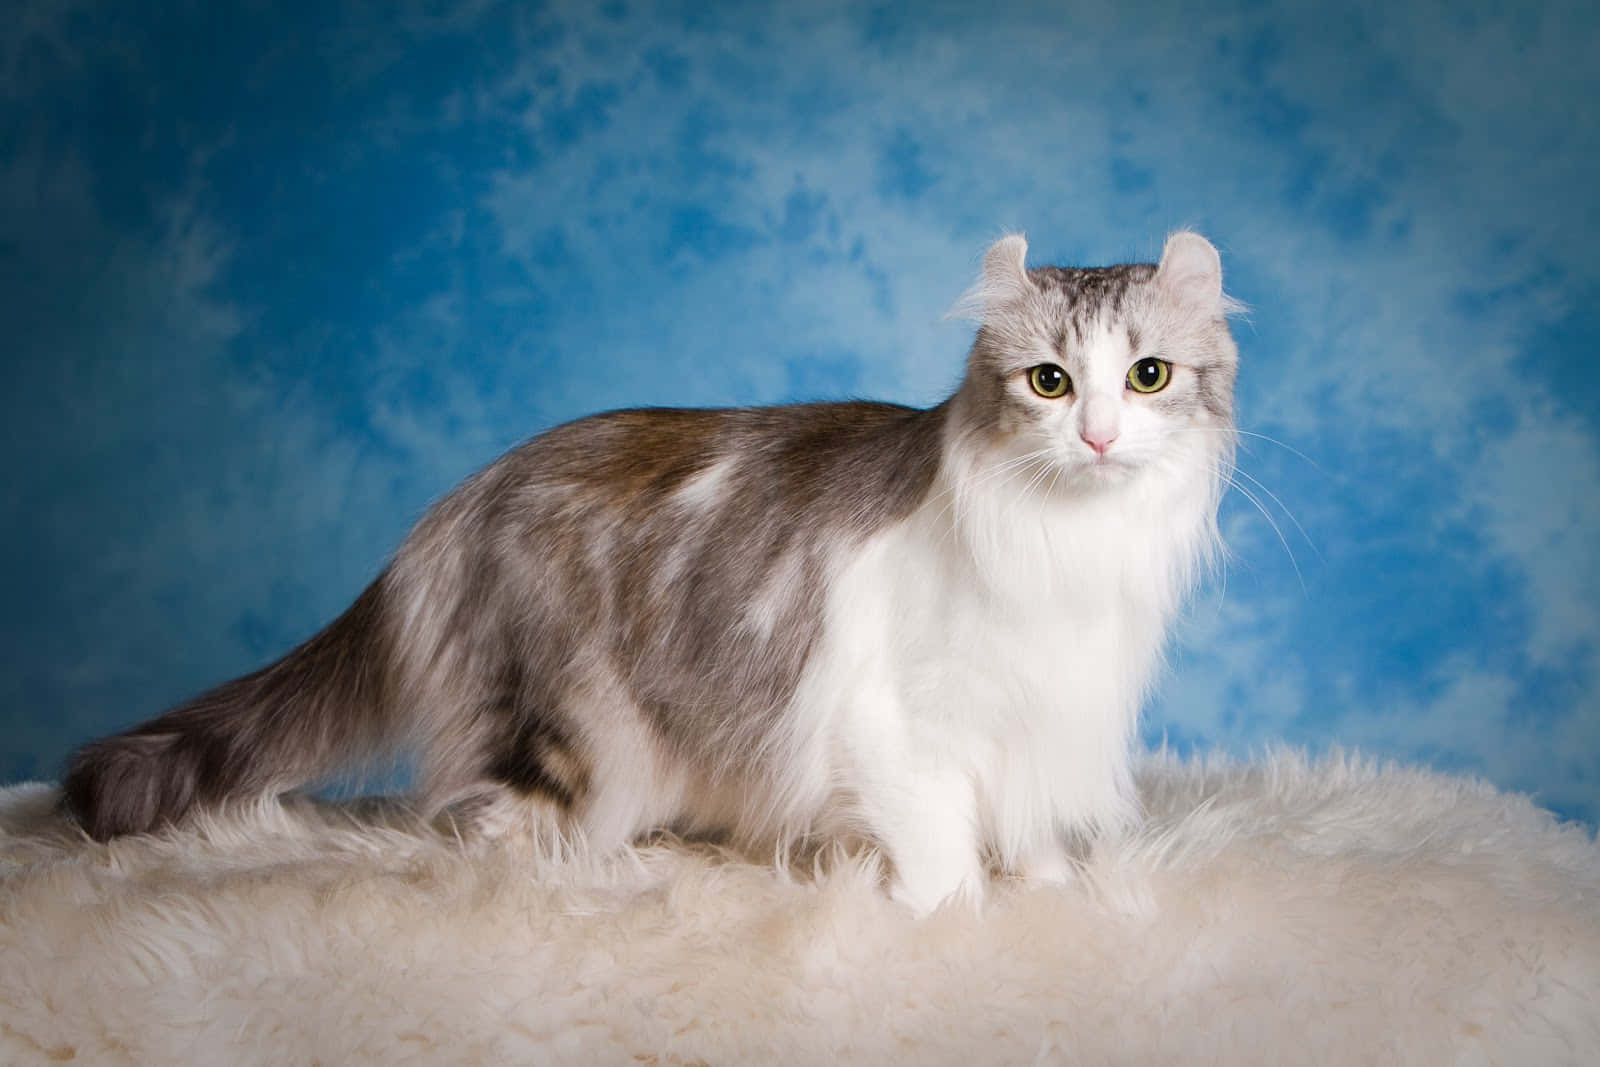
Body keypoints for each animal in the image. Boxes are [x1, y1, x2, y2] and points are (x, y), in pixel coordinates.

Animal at [59, 233, 1235, 921]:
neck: (1071, 545)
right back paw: (580, 883)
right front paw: (953, 919)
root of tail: (462, 498)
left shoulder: (1045, 711)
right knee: (484, 831)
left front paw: (1049, 896)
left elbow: (1028, 827)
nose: (1096, 434)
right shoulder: (899, 727)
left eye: (1147, 376)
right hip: (573, 726)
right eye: (1048, 382)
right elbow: (941, 845)